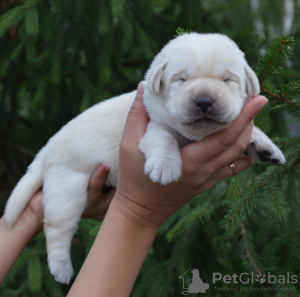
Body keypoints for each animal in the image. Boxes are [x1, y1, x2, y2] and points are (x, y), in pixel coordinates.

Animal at [5, 32, 286, 282]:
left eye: (228, 79)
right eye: (180, 79)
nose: (204, 101)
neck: (196, 136)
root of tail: (46, 150)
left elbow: (252, 130)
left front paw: (266, 147)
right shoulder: (152, 128)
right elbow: (165, 139)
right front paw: (165, 167)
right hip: (68, 186)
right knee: (56, 228)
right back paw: (61, 267)